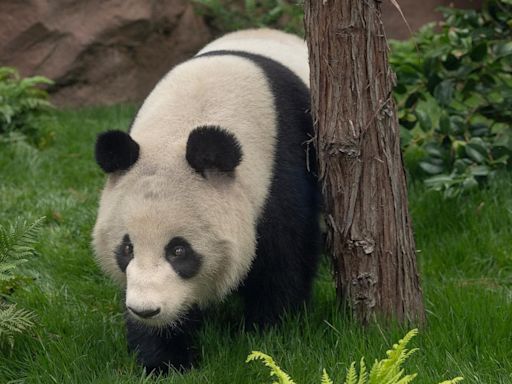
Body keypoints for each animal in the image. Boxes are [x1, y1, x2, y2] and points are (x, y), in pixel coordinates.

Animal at [90, 28, 318, 374]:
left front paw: (264, 333)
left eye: (178, 250)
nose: (146, 309)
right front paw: (165, 359)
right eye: (126, 248)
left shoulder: (281, 168)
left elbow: (284, 260)